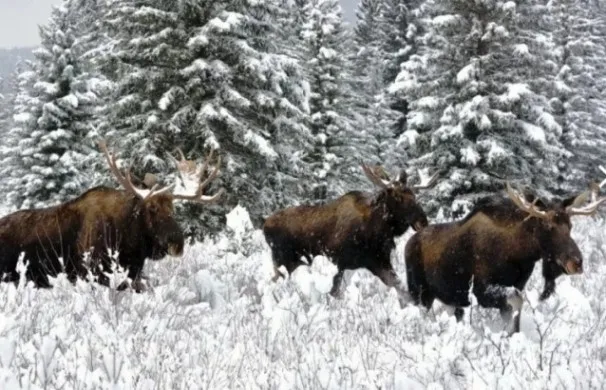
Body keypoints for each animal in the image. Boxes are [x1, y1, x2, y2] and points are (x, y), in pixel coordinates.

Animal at [264, 163, 440, 304]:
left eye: (415, 196)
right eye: (397, 196)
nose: (422, 221)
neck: (376, 230)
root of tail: (265, 225)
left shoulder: (378, 261)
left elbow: (401, 288)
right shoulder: (338, 261)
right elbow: (334, 293)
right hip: (285, 260)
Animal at [404, 181, 606, 334]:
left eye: (570, 225)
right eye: (548, 226)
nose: (577, 262)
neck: (519, 255)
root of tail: (408, 243)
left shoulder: (516, 286)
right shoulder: (481, 290)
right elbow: (516, 302)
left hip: (450, 299)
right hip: (419, 292)